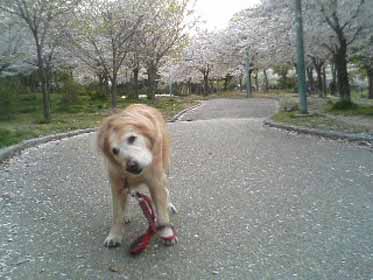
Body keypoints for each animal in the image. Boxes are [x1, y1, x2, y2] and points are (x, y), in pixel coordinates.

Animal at [96, 104, 177, 247]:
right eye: (114, 151)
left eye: (132, 138)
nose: (131, 165)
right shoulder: (117, 183)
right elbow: (117, 214)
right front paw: (114, 235)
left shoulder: (156, 181)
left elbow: (161, 213)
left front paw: (167, 233)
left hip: (166, 167)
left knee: (166, 190)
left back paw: (169, 205)